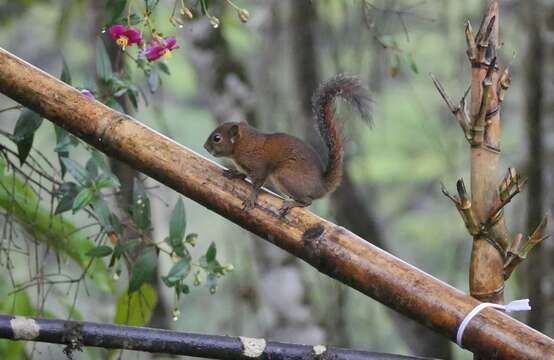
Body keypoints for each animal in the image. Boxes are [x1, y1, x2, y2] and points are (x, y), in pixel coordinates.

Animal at [203, 73, 370, 214]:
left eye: (217, 138)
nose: (205, 147)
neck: (244, 144)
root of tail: (322, 186)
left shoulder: (258, 166)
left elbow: (257, 184)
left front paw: (251, 198)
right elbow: (243, 174)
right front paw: (235, 173)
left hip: (285, 176)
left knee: (308, 201)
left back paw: (292, 203)